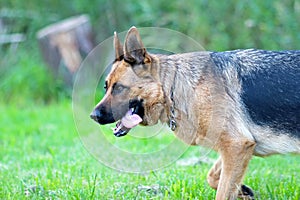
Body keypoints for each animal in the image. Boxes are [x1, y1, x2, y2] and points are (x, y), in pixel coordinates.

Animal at [90, 27, 298, 200]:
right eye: (106, 87)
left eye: (119, 88)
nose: (93, 116)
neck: (173, 88)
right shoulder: (239, 147)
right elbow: (212, 177)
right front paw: (242, 191)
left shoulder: (236, 145)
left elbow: (222, 191)